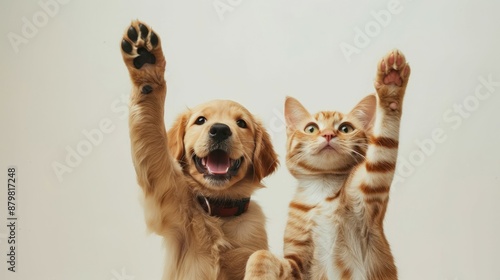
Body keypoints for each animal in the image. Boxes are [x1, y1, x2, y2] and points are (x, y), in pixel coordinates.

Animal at [119, 20, 280, 278]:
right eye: (201, 120)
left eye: (241, 123)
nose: (220, 130)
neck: (218, 211)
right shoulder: (163, 188)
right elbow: (152, 136)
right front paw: (145, 61)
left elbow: (263, 255)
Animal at [244, 49, 412, 278]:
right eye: (311, 128)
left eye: (346, 128)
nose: (328, 134)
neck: (322, 190)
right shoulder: (296, 260)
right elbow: (261, 255)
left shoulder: (370, 191)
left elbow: (383, 145)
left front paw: (391, 85)